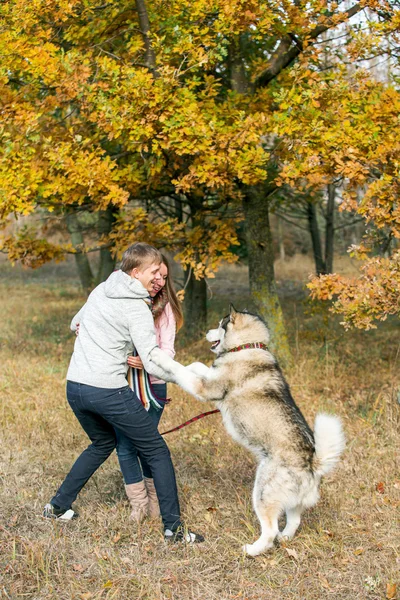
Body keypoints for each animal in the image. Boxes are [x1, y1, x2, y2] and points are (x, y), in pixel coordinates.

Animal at [180, 308, 346, 556]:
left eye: (219, 324)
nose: (206, 332)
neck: (247, 346)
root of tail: (312, 463)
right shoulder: (211, 377)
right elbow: (199, 366)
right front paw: (192, 364)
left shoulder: (206, 389)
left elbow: (178, 371)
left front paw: (158, 359)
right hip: (291, 501)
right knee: (293, 521)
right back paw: (284, 538)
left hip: (262, 492)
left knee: (269, 532)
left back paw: (252, 550)